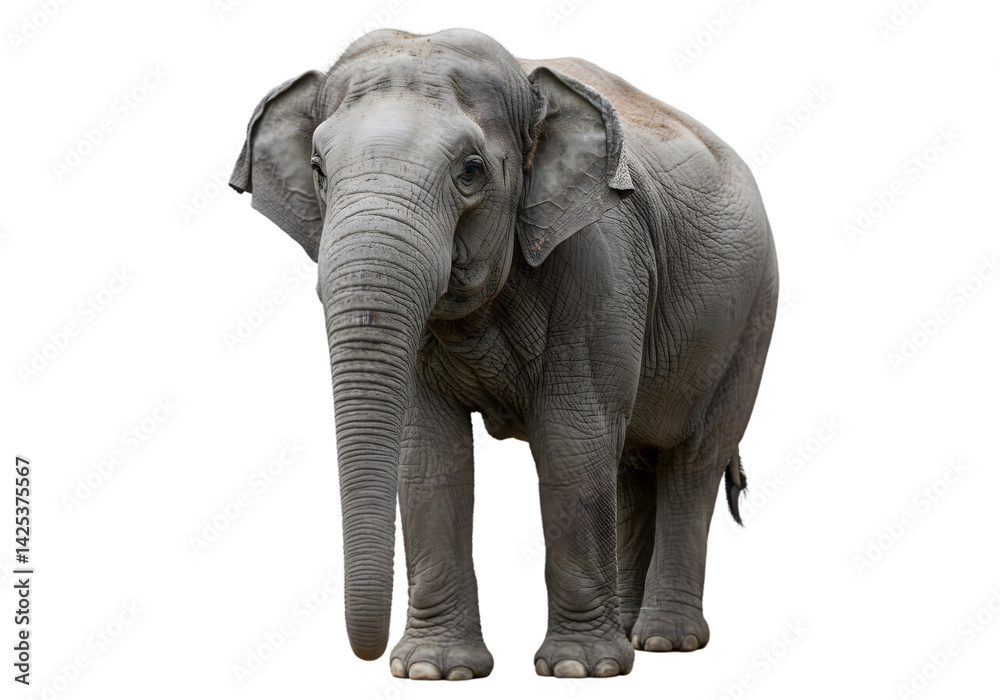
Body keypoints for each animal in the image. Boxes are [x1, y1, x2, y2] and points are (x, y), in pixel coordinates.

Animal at [230, 28, 778, 680]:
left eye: (471, 170)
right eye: (317, 169)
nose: (369, 654)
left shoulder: (601, 263)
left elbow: (571, 442)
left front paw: (579, 670)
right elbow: (428, 454)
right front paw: (434, 670)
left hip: (750, 320)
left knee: (692, 463)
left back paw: (664, 642)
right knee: (631, 463)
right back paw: (630, 631)